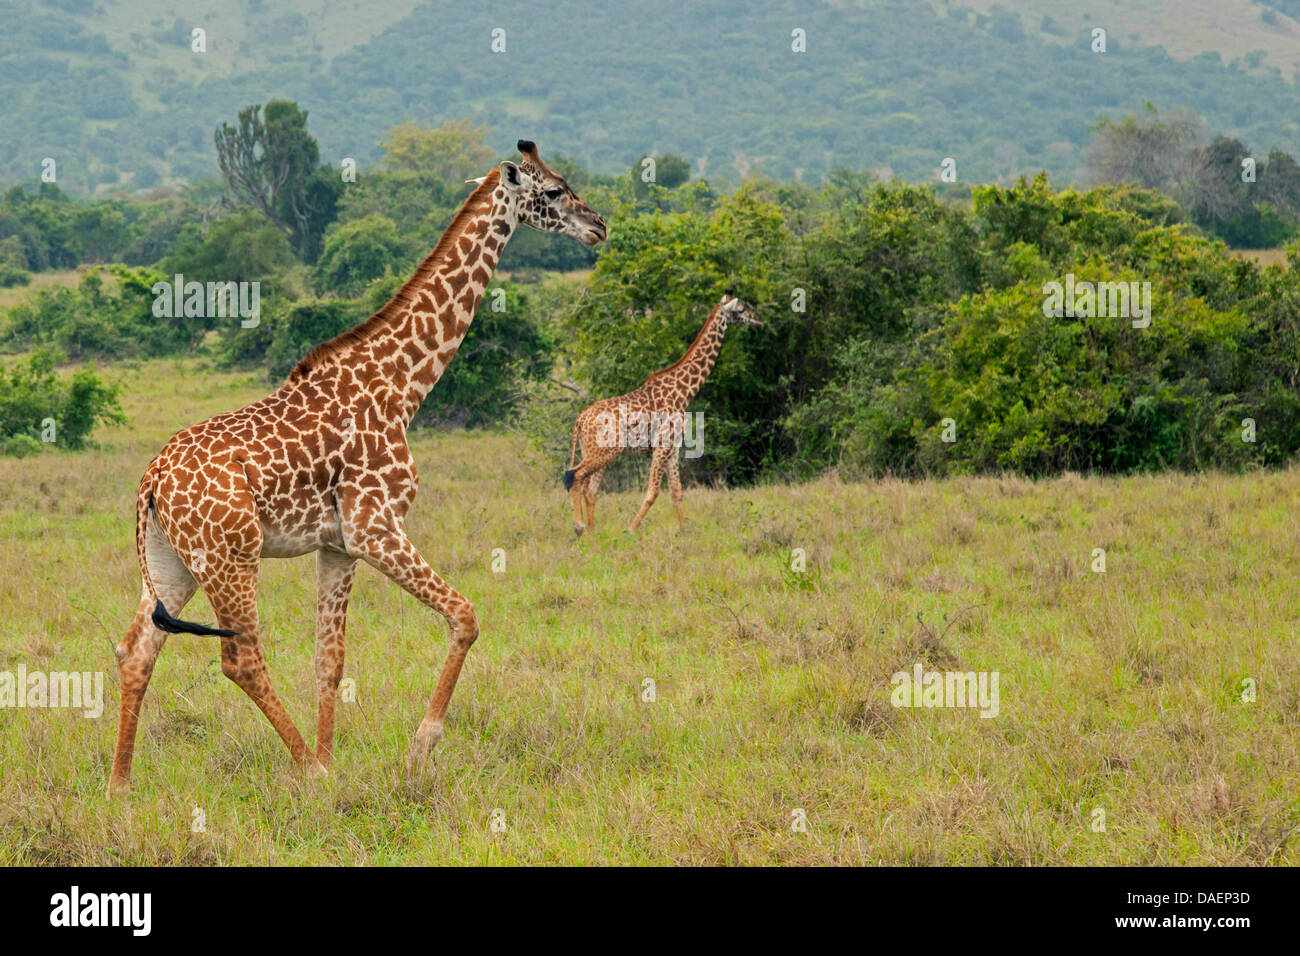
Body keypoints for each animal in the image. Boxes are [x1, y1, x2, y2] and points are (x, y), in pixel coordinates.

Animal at [107, 141, 608, 796]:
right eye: (552, 192)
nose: (599, 225)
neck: (401, 383)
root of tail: (151, 482)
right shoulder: (375, 526)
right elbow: (466, 616)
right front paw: (417, 749)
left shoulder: (337, 544)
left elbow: (330, 658)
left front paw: (344, 755)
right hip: (230, 555)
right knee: (240, 658)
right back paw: (307, 769)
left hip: (173, 562)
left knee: (136, 649)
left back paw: (120, 787)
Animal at [561, 291, 759, 538]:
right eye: (741, 309)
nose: (758, 320)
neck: (684, 392)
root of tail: (580, 420)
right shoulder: (662, 445)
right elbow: (653, 492)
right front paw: (631, 529)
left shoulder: (673, 448)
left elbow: (677, 491)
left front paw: (684, 531)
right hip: (604, 452)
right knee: (576, 476)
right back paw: (579, 527)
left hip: (594, 450)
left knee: (590, 489)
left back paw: (592, 533)